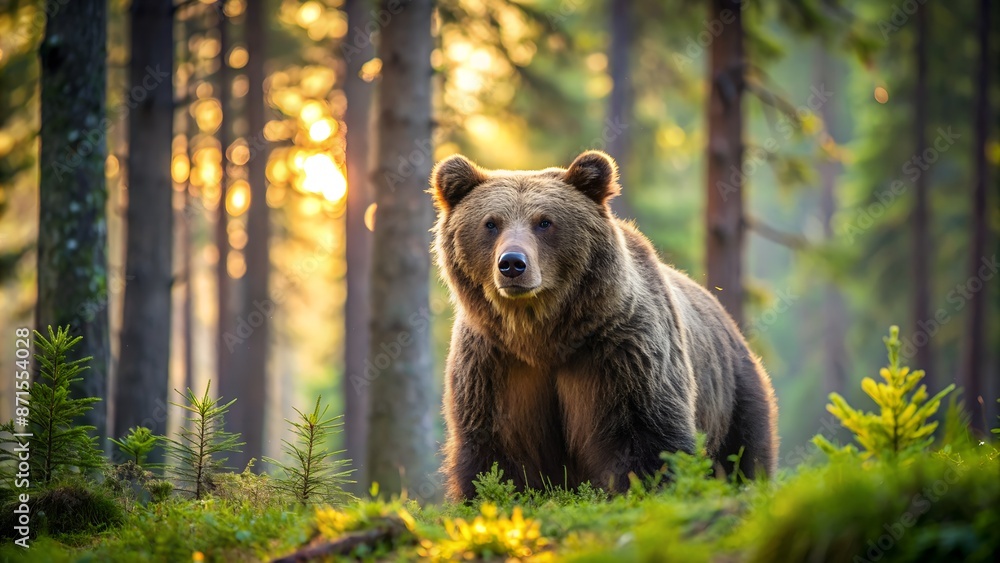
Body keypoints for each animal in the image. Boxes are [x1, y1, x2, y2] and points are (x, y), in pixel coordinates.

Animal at [430, 150, 778, 499]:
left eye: (545, 221)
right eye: (491, 223)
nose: (513, 264)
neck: (542, 335)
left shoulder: (620, 351)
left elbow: (646, 437)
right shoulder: (495, 362)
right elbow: (495, 451)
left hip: (734, 393)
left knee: (743, 455)